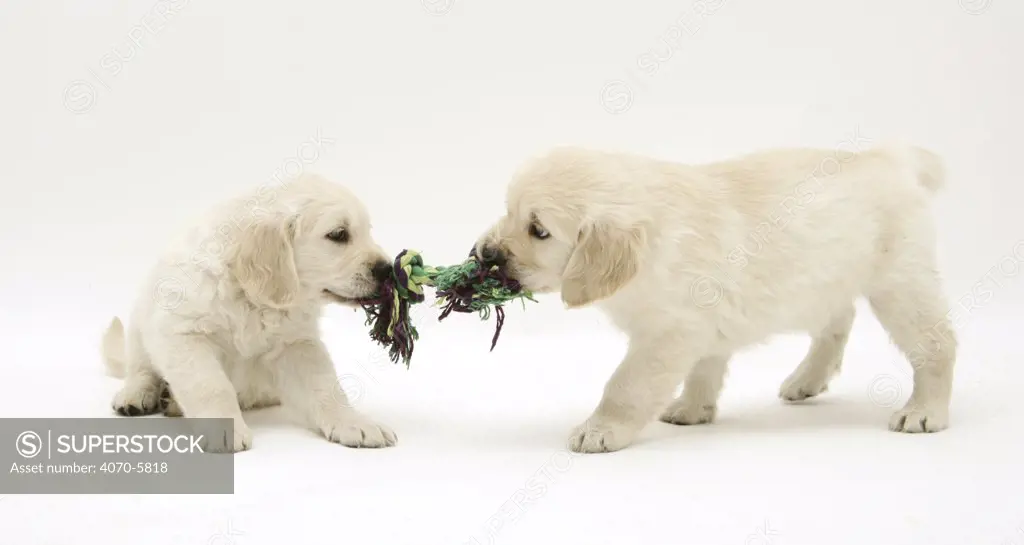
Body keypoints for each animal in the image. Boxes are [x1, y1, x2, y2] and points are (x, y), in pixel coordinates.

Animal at [100, 173, 395, 450]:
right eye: (338, 234)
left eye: (367, 231)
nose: (387, 269)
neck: (251, 298)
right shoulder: (182, 333)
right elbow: (211, 385)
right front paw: (224, 428)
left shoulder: (297, 343)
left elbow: (326, 387)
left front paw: (354, 422)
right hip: (139, 324)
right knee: (140, 369)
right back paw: (137, 395)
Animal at [475, 145, 954, 454]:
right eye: (509, 211)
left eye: (538, 230)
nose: (484, 254)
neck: (654, 245)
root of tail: (892, 157)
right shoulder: (701, 325)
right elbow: (705, 367)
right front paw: (693, 408)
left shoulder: (668, 333)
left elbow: (626, 386)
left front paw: (600, 429)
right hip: (826, 282)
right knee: (838, 322)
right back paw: (807, 380)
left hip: (901, 286)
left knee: (937, 344)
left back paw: (923, 411)